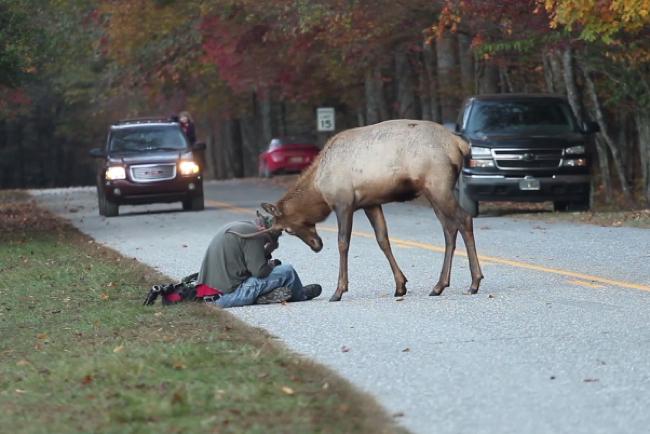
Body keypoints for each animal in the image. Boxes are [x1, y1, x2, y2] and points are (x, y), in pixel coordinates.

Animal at [251, 118, 478, 302]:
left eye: (288, 229)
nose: (316, 246)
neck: (319, 189)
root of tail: (459, 144)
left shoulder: (344, 203)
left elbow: (343, 243)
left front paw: (339, 291)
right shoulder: (371, 203)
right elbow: (382, 240)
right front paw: (400, 286)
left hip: (438, 185)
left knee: (464, 219)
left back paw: (474, 283)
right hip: (433, 191)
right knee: (449, 228)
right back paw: (439, 286)